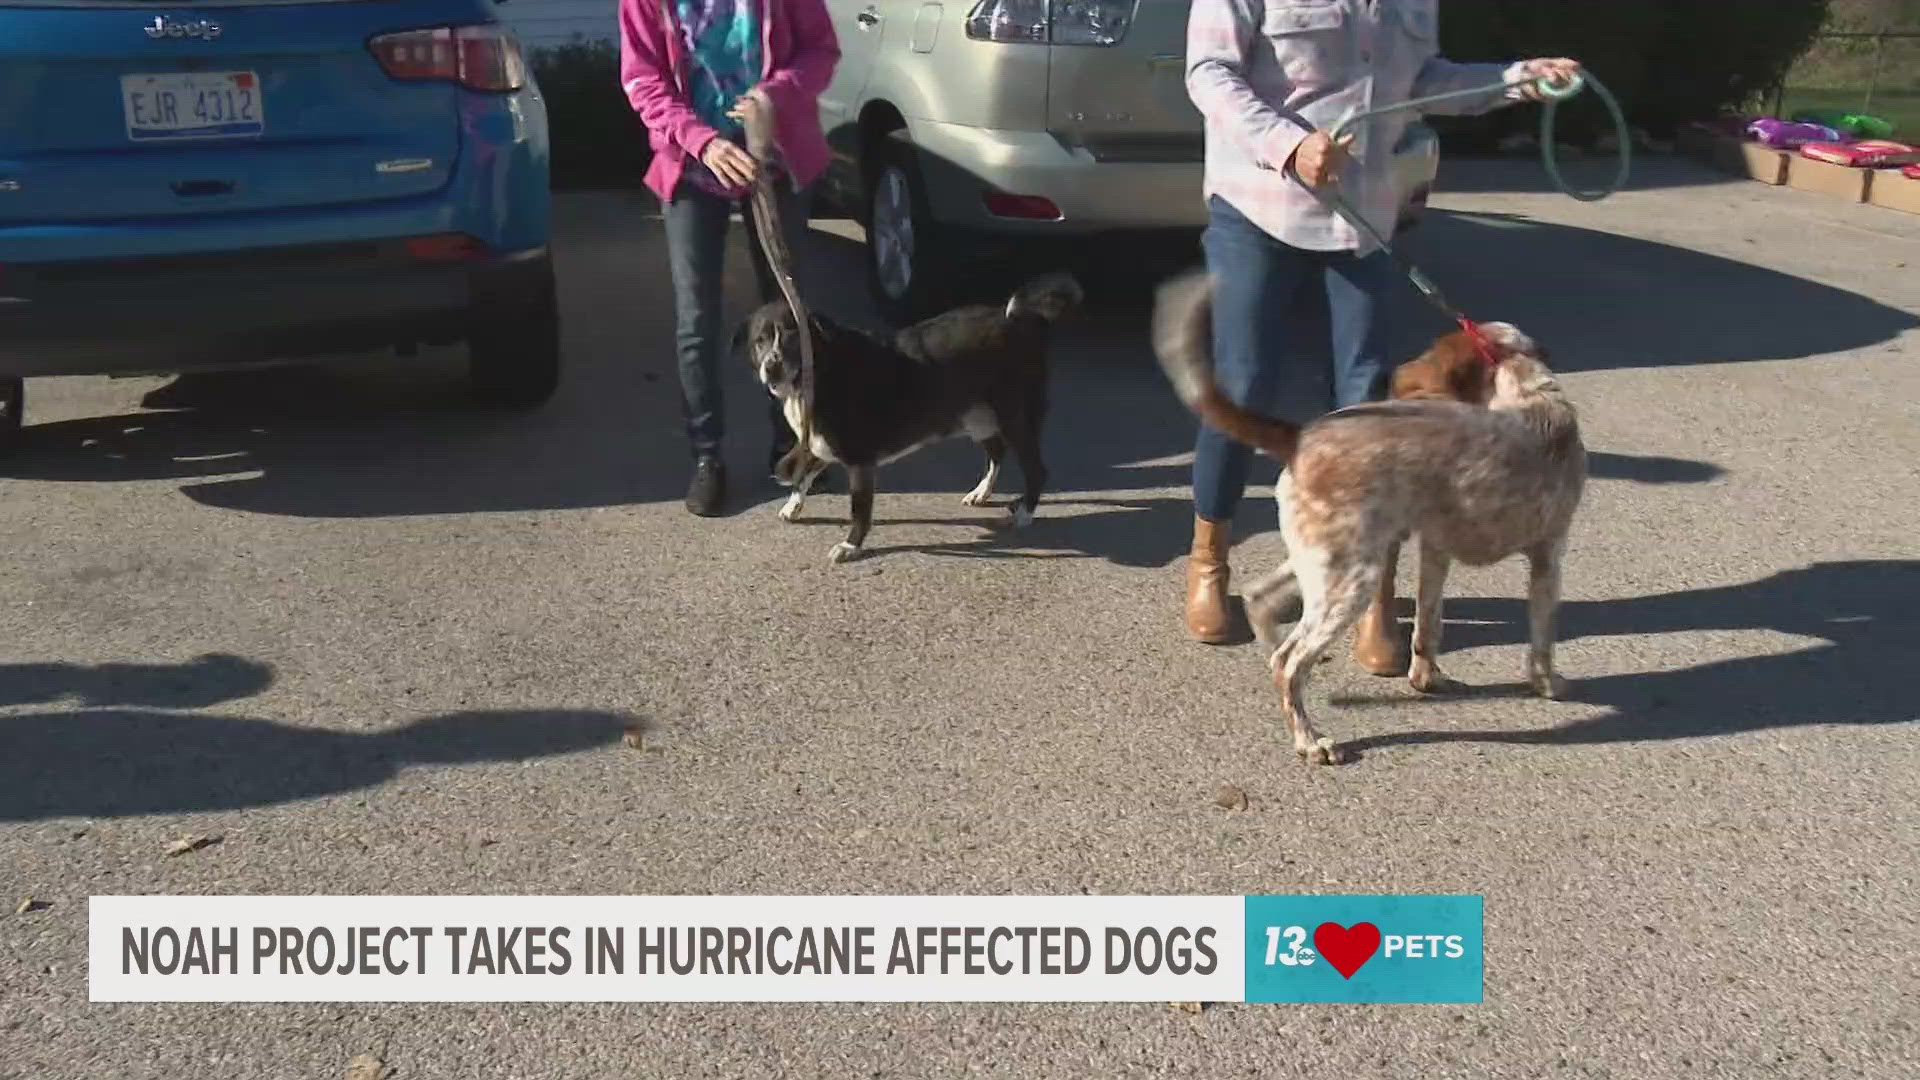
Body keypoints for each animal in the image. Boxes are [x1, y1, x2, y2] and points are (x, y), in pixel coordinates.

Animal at [741, 270, 1082, 564]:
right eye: (760, 341)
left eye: (793, 338)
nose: (772, 367)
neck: (819, 373)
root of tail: (1016, 318)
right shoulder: (821, 443)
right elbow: (804, 476)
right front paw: (793, 505)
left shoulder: (860, 462)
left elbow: (859, 510)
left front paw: (852, 545)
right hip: (978, 417)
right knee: (997, 452)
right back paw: (981, 492)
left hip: (1015, 417)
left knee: (1036, 469)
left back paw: (1024, 512)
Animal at [1144, 267, 1582, 764]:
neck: (1531, 394)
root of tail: (1302, 436)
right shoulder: (1549, 556)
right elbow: (1542, 639)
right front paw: (1549, 683)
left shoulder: (1436, 552)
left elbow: (1428, 626)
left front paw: (1427, 678)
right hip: (1352, 579)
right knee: (1290, 663)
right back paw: (1310, 740)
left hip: (1322, 562)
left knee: (1261, 607)